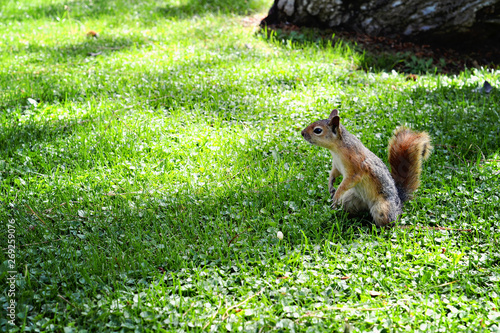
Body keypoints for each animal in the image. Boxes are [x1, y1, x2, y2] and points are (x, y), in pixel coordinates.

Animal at [302, 108, 432, 226]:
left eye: (318, 130)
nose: (302, 133)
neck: (336, 148)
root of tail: (399, 201)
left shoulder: (355, 168)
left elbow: (349, 181)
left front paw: (337, 193)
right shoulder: (337, 165)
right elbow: (334, 173)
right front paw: (330, 185)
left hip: (382, 208)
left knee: (389, 221)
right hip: (350, 199)